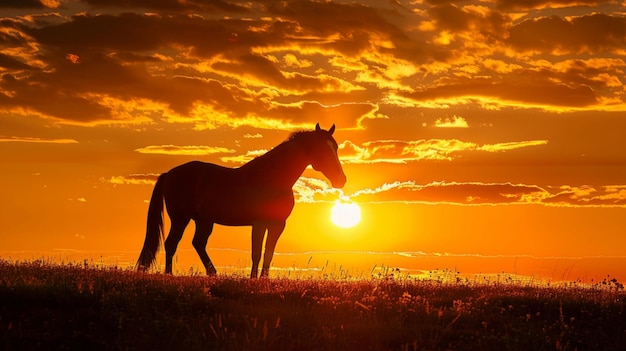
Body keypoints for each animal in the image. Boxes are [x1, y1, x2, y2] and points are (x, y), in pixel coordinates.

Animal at [135, 124, 346, 278]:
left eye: (335, 147)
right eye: (322, 148)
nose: (341, 180)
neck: (273, 178)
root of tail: (169, 174)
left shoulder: (277, 225)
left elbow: (268, 253)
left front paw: (264, 279)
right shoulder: (259, 224)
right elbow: (256, 252)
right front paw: (253, 279)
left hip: (204, 221)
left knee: (198, 243)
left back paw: (212, 273)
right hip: (181, 218)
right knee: (172, 243)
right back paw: (169, 275)